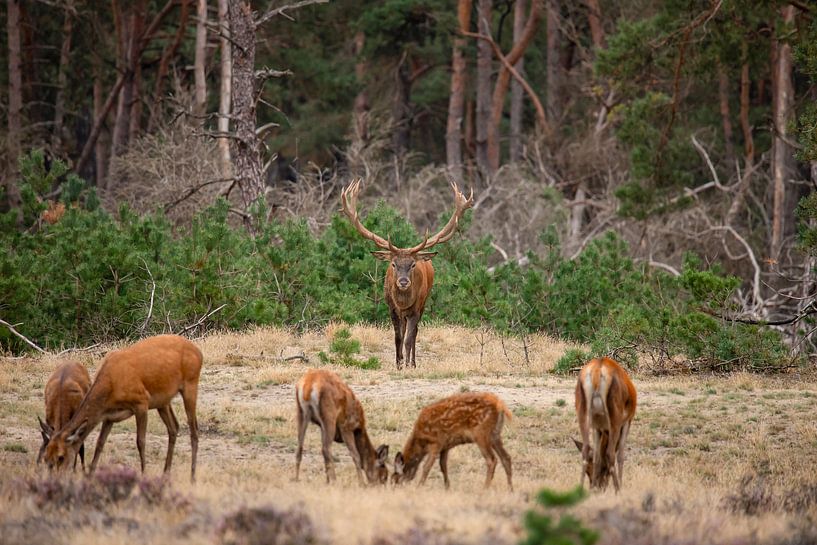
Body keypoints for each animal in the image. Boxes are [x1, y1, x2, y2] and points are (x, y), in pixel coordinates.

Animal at [43, 334, 202, 482]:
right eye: (46, 457)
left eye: (61, 456)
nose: (55, 479)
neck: (111, 387)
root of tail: (199, 352)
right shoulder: (108, 416)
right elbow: (100, 443)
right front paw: (90, 474)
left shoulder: (141, 401)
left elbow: (140, 441)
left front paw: (143, 473)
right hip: (162, 401)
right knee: (174, 427)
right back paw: (166, 473)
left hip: (190, 383)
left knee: (194, 429)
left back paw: (193, 475)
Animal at [341, 178, 474, 369]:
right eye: (393, 264)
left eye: (412, 265)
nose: (403, 282)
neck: (403, 303)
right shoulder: (391, 308)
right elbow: (398, 337)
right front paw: (398, 363)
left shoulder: (415, 308)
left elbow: (409, 338)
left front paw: (408, 364)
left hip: (424, 301)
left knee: (415, 332)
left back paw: (413, 362)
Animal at [573, 356, 637, 493]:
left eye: (589, 470)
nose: (599, 486)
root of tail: (598, 370)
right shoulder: (626, 423)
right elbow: (621, 456)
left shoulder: (597, 428)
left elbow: (597, 457)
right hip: (615, 423)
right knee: (610, 453)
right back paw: (618, 490)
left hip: (584, 417)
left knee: (585, 450)